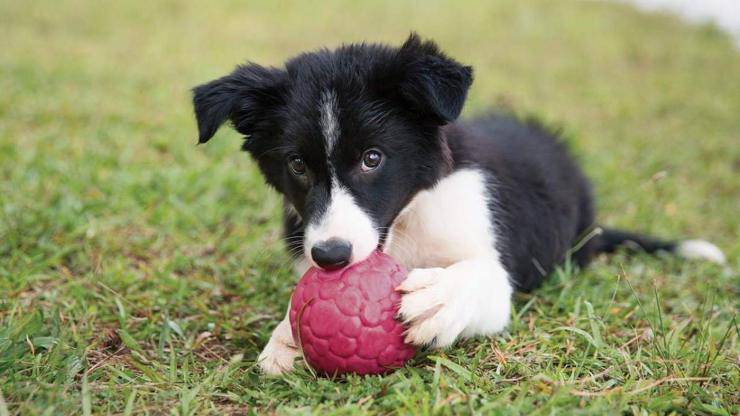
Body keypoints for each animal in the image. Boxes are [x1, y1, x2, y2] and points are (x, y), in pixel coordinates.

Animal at [192, 34, 728, 376]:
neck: (406, 223)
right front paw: (286, 336)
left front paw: (442, 297)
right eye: (298, 165)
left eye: (372, 158)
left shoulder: (487, 249)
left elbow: (483, 278)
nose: (331, 256)